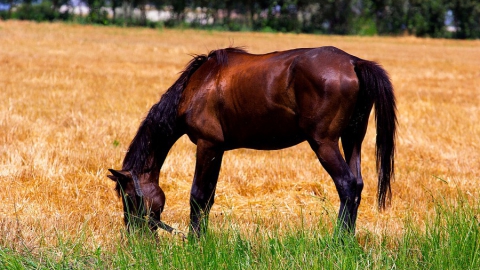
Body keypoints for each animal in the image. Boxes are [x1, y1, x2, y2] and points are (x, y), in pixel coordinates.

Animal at [109, 46, 398, 236]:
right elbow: (209, 197)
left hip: (324, 143)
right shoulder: (218, 149)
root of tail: (353, 62)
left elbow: (198, 196)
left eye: (130, 198)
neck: (197, 85)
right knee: (357, 184)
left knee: (347, 185)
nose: (136, 237)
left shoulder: (206, 145)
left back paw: (338, 240)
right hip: (352, 139)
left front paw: (194, 242)